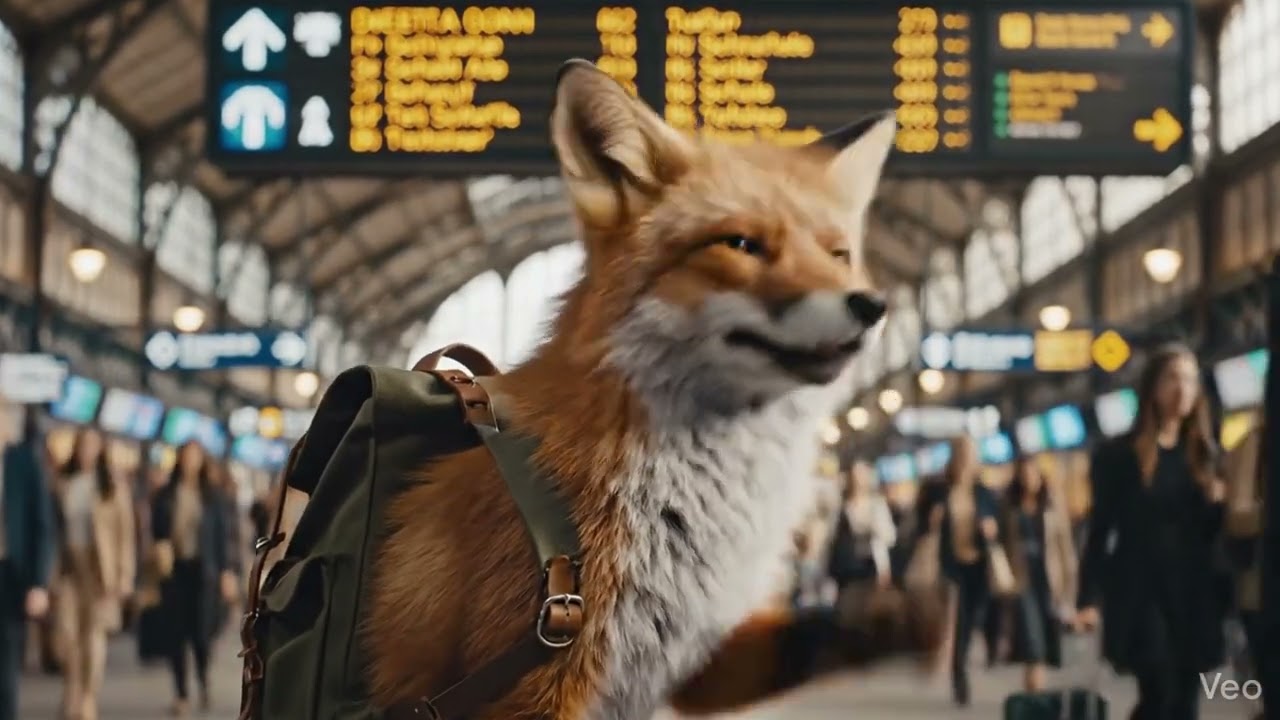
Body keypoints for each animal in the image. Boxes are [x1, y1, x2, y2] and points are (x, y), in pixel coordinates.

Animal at [365, 59, 945, 719]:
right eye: (740, 245)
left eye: (839, 254)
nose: (873, 306)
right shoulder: (534, 683)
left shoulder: (695, 654)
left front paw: (896, 618)